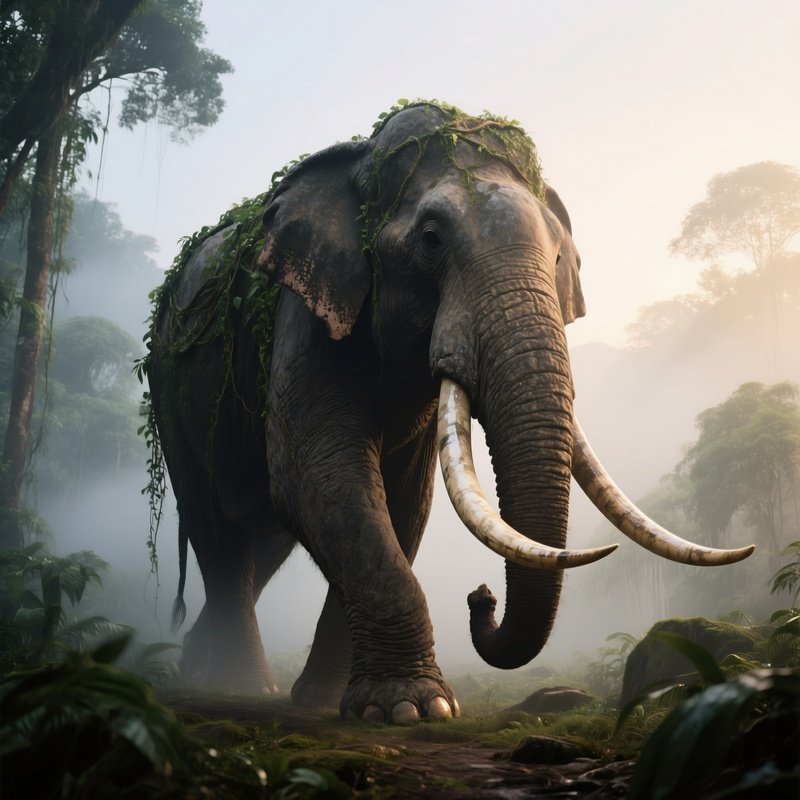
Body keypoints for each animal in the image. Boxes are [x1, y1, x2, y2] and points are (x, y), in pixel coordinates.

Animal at [143, 101, 753, 723]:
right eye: (431, 240)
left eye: (560, 256)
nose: (481, 596)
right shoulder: (308, 313)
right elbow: (315, 477)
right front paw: (410, 708)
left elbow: (401, 502)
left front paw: (343, 703)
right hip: (168, 389)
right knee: (218, 531)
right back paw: (237, 684)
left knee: (262, 539)